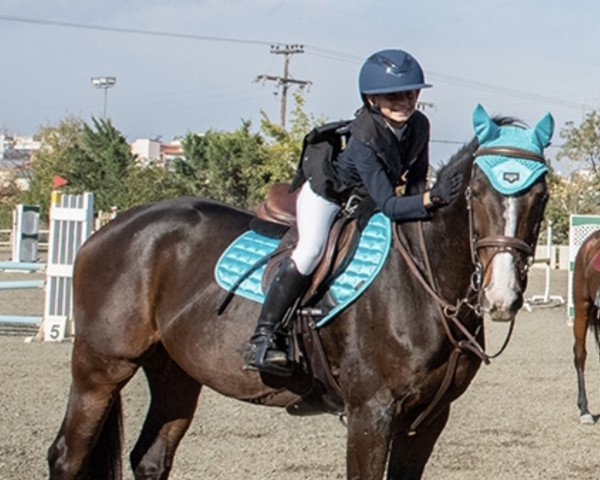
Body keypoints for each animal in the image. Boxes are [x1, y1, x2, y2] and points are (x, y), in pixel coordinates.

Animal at [49, 105, 556, 480]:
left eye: (542, 195)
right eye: (476, 191)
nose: (501, 297)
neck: (424, 286)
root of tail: (112, 227)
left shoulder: (427, 420)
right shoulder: (372, 413)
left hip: (175, 370)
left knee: (151, 459)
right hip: (102, 366)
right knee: (67, 455)